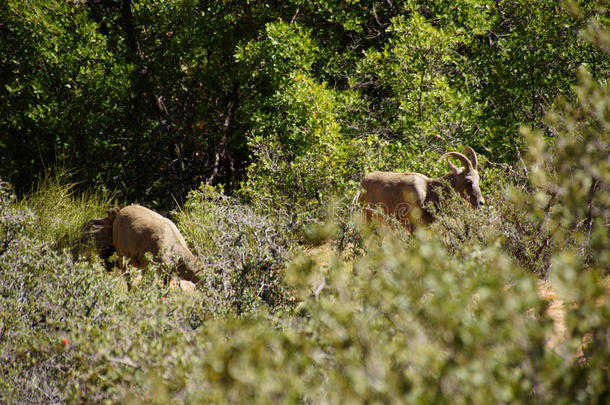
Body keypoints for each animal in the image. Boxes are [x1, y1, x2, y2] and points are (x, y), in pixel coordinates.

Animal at [356, 148, 484, 230]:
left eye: (478, 179)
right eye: (468, 181)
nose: (481, 203)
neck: (429, 192)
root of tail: (363, 182)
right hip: (367, 217)